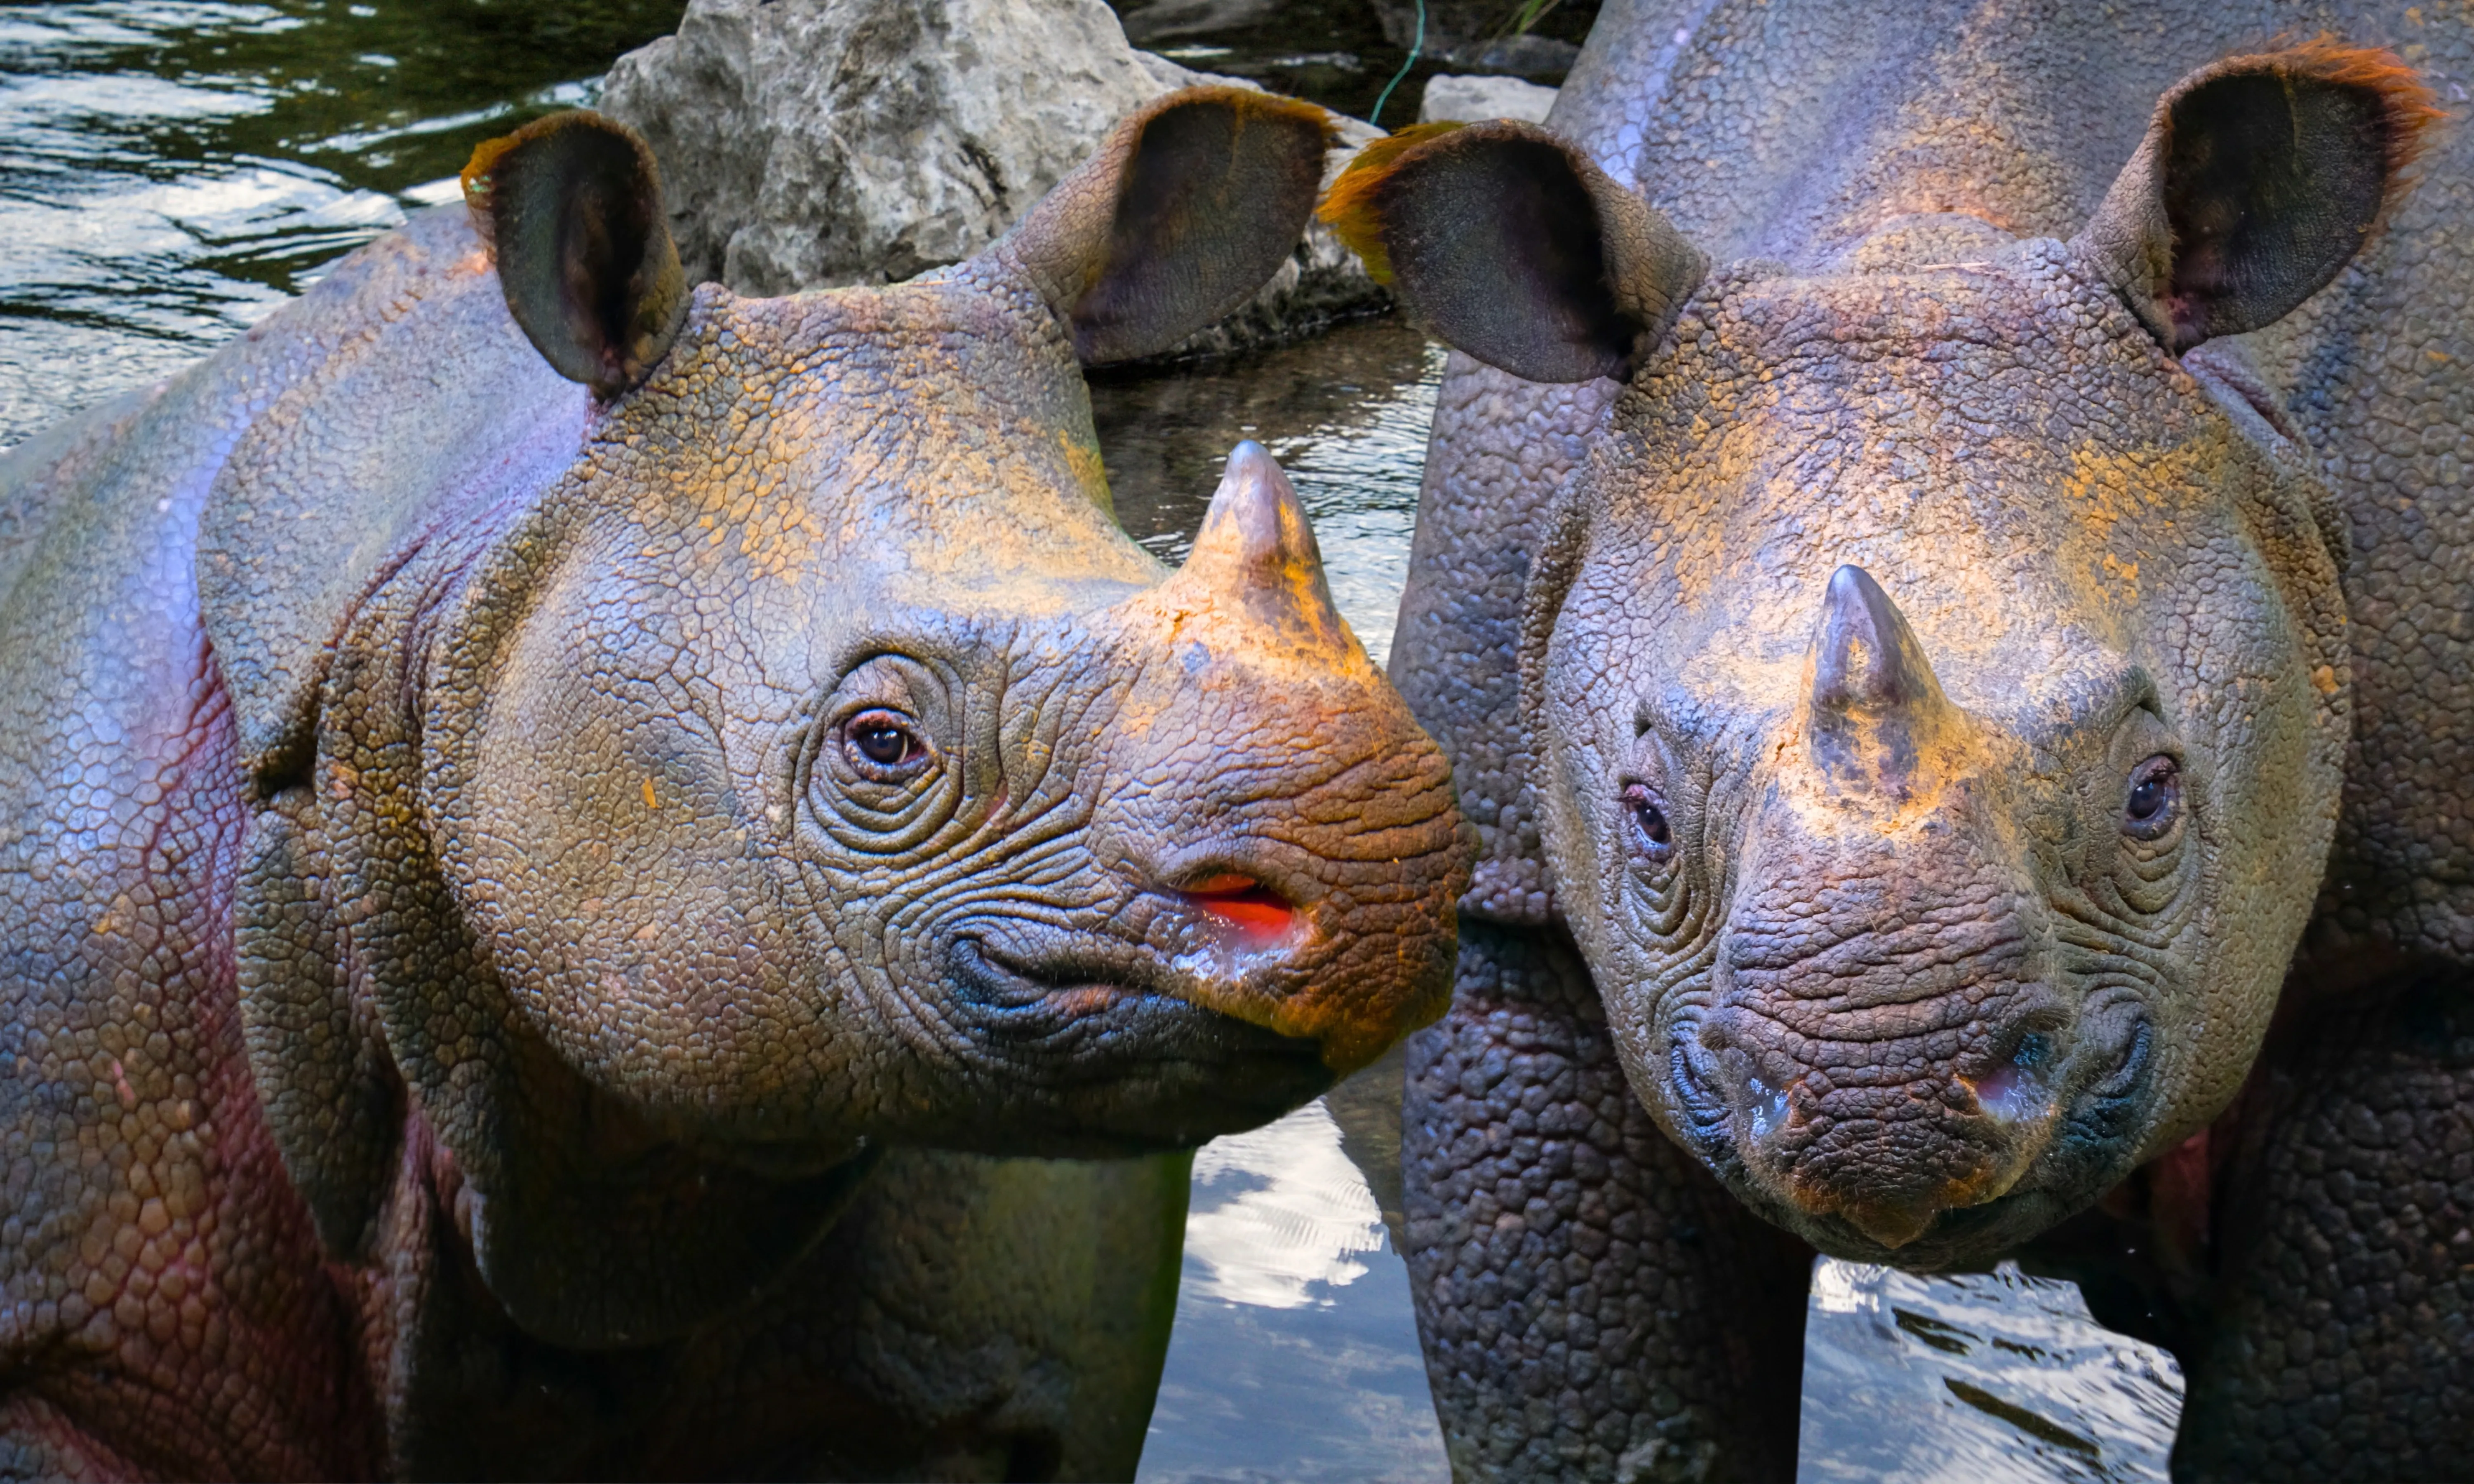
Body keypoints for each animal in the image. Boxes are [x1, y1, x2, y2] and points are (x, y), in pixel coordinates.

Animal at [1331, 5, 2470, 1478]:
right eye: (1643, 816)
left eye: (2154, 796)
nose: (1880, 1098)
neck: (1923, 234)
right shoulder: (1514, 882)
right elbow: (1599, 1393)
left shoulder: (2427, 924)